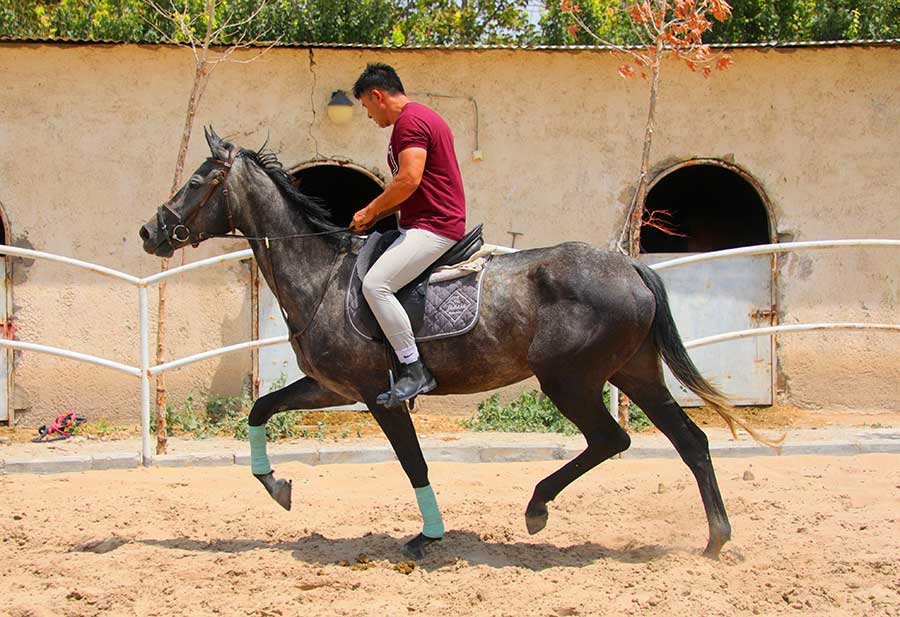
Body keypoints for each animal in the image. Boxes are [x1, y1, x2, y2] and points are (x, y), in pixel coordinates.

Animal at [141, 127, 772, 560]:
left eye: (196, 180)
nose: (150, 231)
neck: (322, 276)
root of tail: (630, 267)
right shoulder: (331, 388)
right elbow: (260, 408)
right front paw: (276, 486)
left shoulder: (378, 395)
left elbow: (413, 462)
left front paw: (428, 536)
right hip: (633, 373)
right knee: (689, 441)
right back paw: (715, 540)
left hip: (571, 380)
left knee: (611, 439)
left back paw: (537, 508)